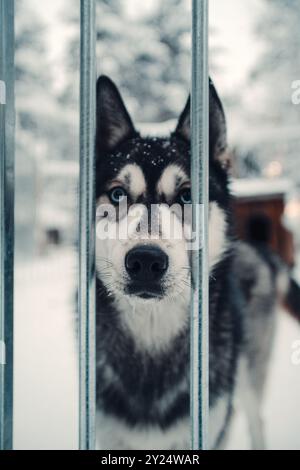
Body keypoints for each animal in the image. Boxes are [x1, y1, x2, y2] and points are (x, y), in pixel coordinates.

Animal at [94, 75, 300, 450]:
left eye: (188, 195)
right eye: (117, 194)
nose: (145, 261)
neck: (154, 340)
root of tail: (260, 250)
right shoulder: (109, 435)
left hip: (248, 376)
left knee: (256, 420)